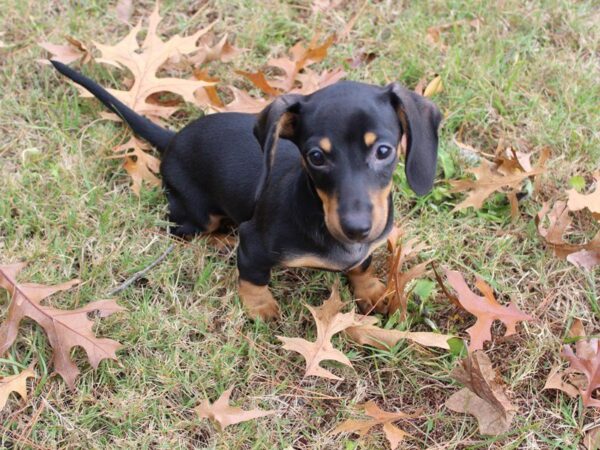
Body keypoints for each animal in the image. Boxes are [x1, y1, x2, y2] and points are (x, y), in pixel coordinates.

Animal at [51, 60, 442, 320]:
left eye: (384, 151)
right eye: (316, 157)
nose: (357, 229)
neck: (316, 209)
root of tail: (173, 139)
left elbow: (362, 266)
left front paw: (373, 291)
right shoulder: (255, 242)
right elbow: (253, 277)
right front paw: (260, 307)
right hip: (197, 214)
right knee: (184, 230)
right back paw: (222, 239)